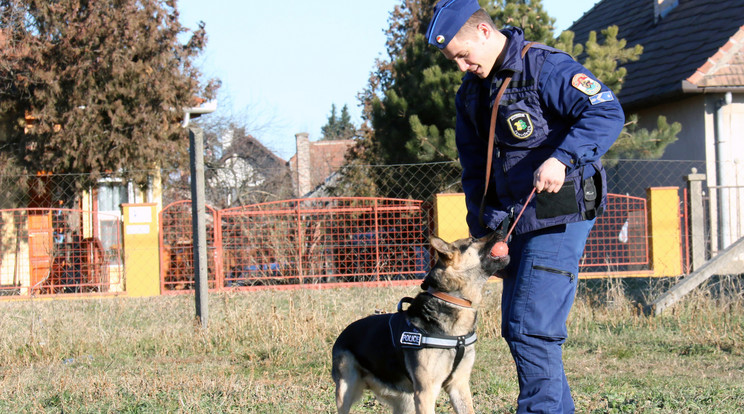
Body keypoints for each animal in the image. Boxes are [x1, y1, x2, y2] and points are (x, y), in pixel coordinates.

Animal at [334, 233, 508, 414]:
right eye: (472, 240)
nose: (500, 230)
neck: (451, 299)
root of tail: (343, 334)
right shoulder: (426, 392)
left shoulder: (459, 386)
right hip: (346, 393)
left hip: (406, 402)